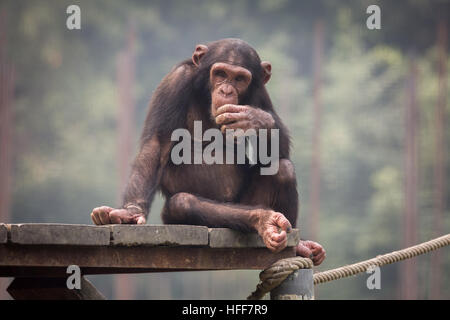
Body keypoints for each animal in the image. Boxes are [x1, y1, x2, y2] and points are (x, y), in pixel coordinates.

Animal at [90, 38, 324, 264]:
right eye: (220, 73)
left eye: (240, 78)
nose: (226, 90)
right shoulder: (176, 81)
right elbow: (156, 143)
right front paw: (130, 212)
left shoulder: (260, 92)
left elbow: (277, 151)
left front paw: (256, 119)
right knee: (182, 203)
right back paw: (263, 219)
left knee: (283, 169)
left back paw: (298, 244)